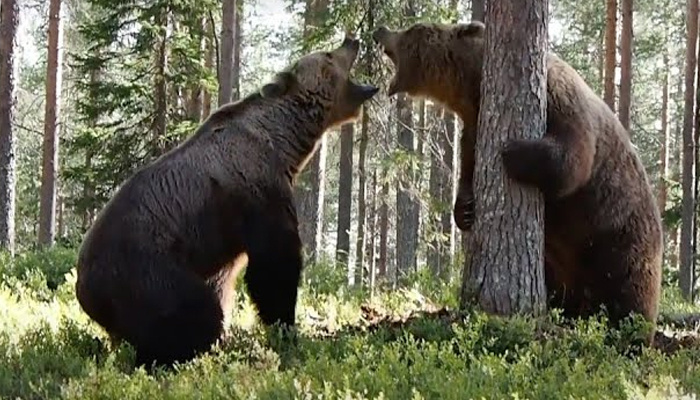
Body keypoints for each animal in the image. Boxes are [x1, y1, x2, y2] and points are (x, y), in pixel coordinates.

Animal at [76, 36, 378, 368]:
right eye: (328, 54)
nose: (352, 39)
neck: (284, 144)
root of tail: (83, 286)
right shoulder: (256, 192)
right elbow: (274, 266)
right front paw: (286, 332)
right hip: (146, 271)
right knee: (192, 311)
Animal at [372, 21, 660, 332]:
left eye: (411, 30)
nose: (380, 30)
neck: (474, 89)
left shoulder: (557, 98)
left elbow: (573, 157)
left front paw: (512, 152)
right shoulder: (474, 124)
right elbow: (469, 163)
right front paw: (464, 209)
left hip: (619, 234)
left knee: (627, 288)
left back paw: (628, 330)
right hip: (558, 264)